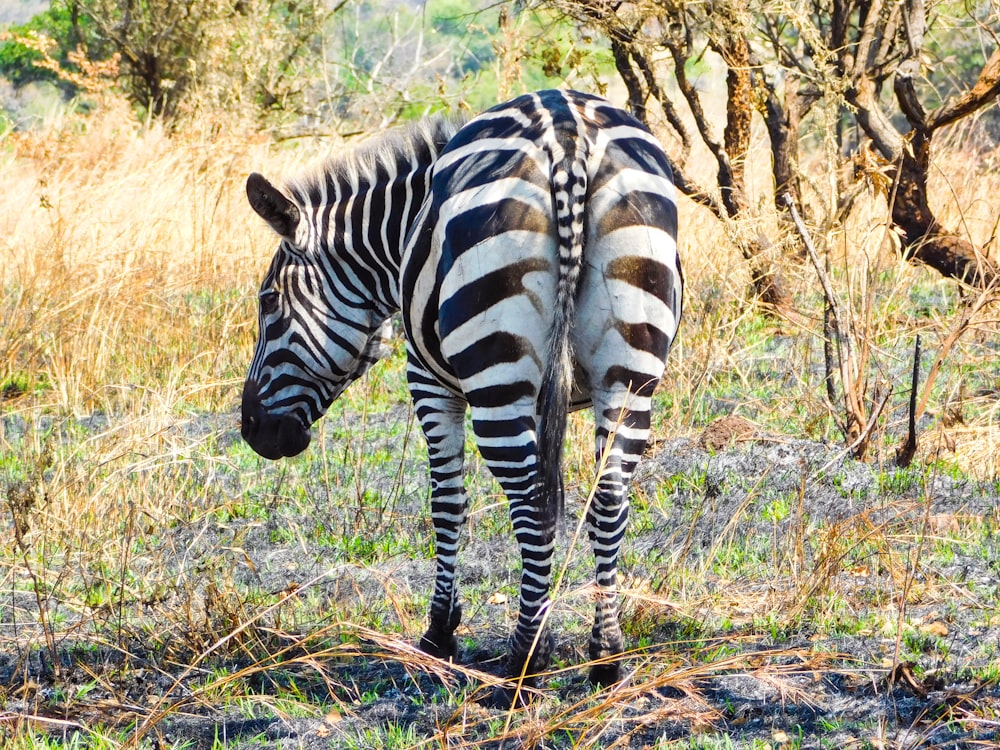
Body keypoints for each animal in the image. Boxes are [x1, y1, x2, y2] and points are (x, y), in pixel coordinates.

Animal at [240, 91, 680, 708]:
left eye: (268, 303)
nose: (252, 429)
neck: (401, 232)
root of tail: (567, 134)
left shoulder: (427, 379)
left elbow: (446, 503)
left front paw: (439, 633)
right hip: (631, 365)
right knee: (610, 499)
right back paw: (606, 658)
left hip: (495, 367)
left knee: (531, 506)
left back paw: (524, 666)